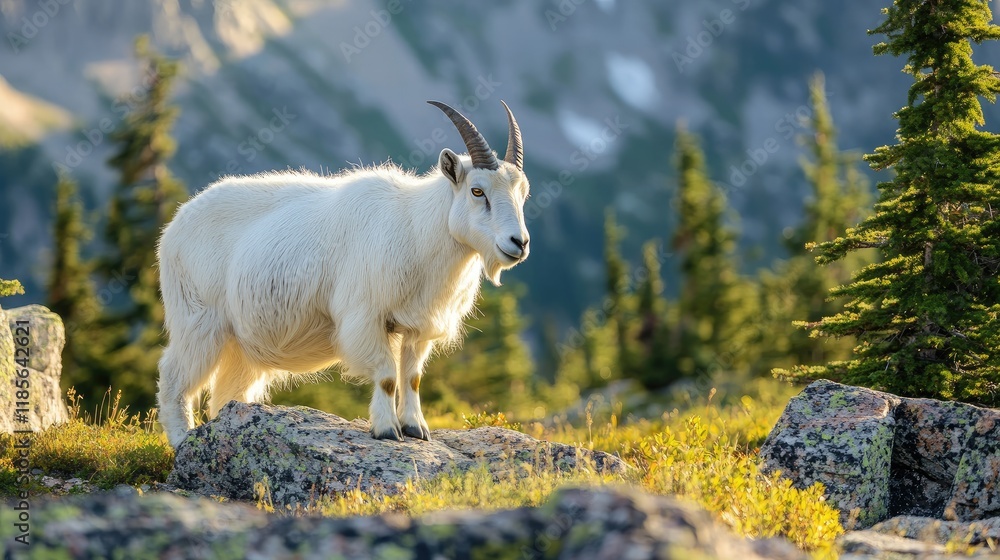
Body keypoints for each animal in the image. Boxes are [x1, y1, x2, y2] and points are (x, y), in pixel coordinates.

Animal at [156, 101, 530, 448]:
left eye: (522, 193)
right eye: (477, 190)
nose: (519, 243)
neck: (415, 227)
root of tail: (175, 225)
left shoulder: (416, 326)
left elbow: (412, 377)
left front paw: (416, 429)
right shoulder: (364, 316)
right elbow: (386, 376)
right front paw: (386, 430)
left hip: (240, 344)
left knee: (227, 391)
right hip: (197, 320)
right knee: (173, 376)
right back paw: (182, 440)